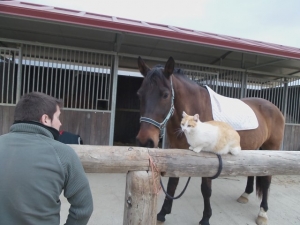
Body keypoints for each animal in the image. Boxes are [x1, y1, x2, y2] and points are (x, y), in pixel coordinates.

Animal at [135, 56, 284, 225]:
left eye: (165, 94)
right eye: (139, 94)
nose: (145, 141)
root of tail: (274, 107)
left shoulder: (209, 155)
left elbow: (205, 189)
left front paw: (206, 217)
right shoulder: (177, 152)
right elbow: (172, 184)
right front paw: (162, 213)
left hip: (272, 148)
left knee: (267, 179)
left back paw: (263, 212)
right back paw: (245, 195)